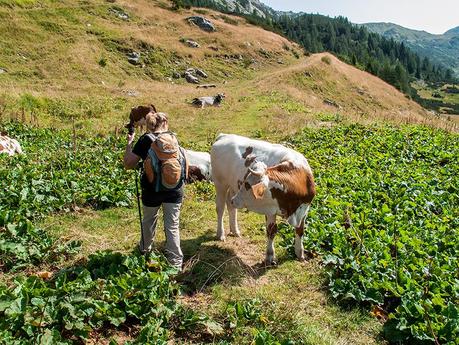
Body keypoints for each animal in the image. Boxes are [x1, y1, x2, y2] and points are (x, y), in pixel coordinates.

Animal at [211, 133, 316, 262]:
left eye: (247, 185)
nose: (234, 200)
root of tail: (224, 136)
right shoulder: (270, 210)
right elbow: (271, 231)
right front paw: (270, 256)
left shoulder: (304, 210)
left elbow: (300, 231)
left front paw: (300, 253)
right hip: (220, 184)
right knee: (220, 208)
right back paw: (220, 233)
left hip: (232, 186)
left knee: (231, 207)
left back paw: (235, 230)